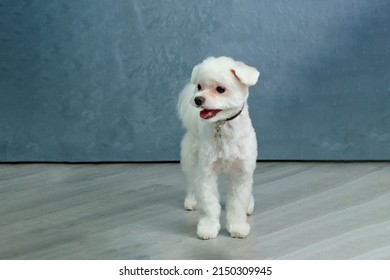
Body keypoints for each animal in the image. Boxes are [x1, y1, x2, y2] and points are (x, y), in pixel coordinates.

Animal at [177, 56, 258, 238]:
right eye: (199, 86)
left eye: (220, 89)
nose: (198, 99)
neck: (223, 125)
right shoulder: (206, 172)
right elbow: (209, 204)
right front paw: (208, 228)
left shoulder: (242, 171)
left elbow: (237, 203)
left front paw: (237, 227)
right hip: (191, 158)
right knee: (191, 182)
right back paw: (191, 201)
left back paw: (249, 204)